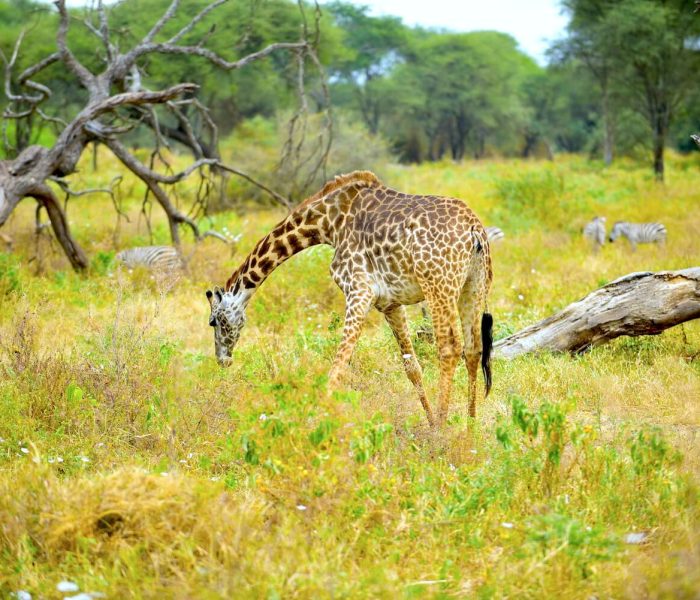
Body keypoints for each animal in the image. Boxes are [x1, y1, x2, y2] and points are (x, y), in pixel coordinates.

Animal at [206, 171, 492, 424]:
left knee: (449, 347)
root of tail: (474, 230)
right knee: (473, 350)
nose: (222, 360)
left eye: (213, 321)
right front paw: (430, 423)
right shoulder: (390, 303)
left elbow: (338, 368)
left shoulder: (358, 290)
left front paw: (315, 423)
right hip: (474, 285)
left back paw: (444, 429)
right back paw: (469, 428)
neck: (329, 223)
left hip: (438, 286)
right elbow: (412, 368)